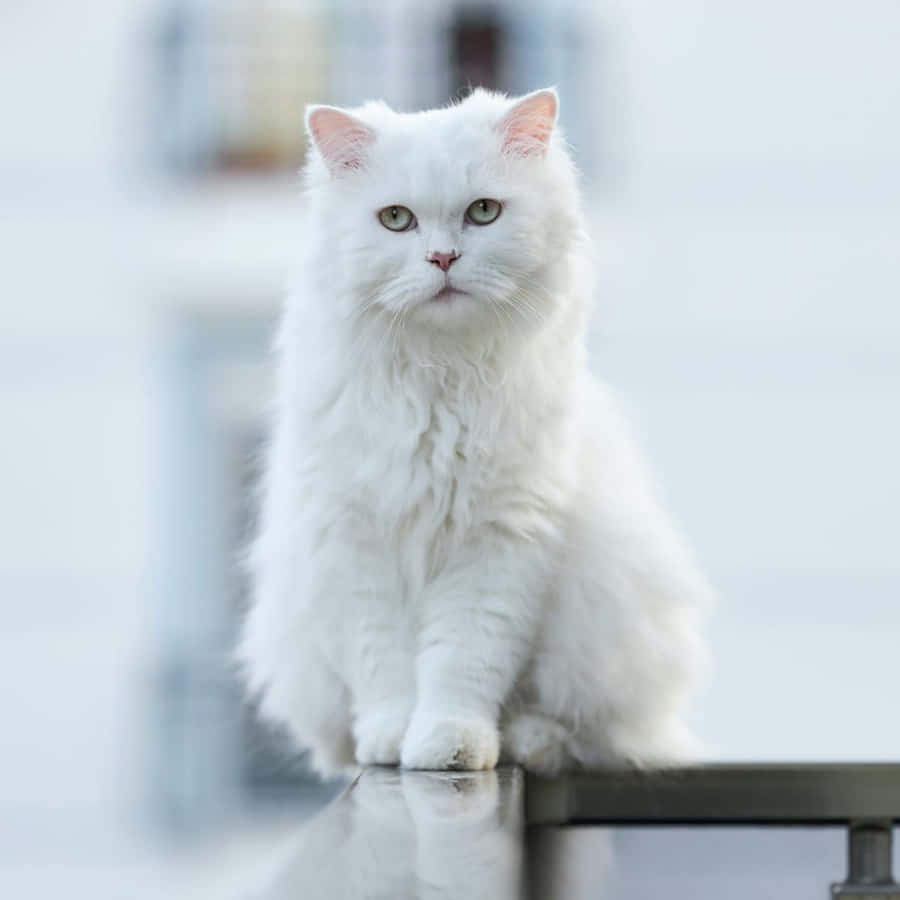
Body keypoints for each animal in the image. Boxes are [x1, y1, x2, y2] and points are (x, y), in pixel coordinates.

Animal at [237, 93, 712, 780]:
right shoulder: (354, 541)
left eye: (483, 212)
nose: (443, 260)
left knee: (579, 730)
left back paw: (526, 742)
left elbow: (461, 663)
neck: (440, 376)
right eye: (397, 220)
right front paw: (390, 743)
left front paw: (450, 747)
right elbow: (384, 670)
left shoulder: (500, 540)